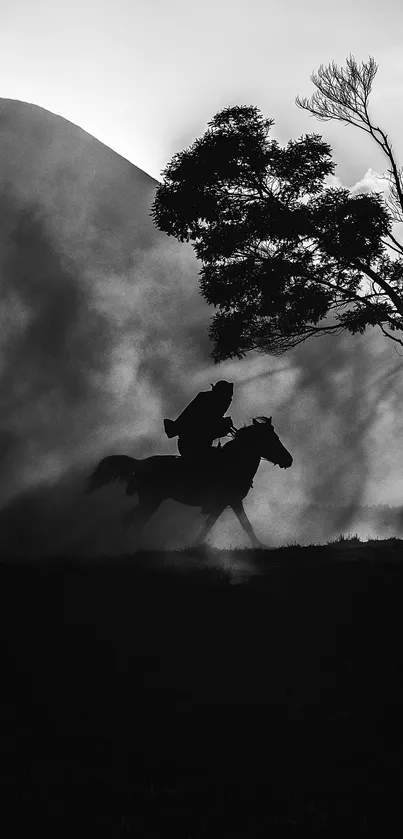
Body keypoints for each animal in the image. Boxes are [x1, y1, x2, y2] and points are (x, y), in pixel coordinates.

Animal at [86, 416, 294, 548]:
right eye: (271, 439)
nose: (289, 460)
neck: (233, 462)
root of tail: (141, 463)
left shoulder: (224, 503)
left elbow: (211, 524)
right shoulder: (232, 500)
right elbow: (244, 524)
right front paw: (260, 545)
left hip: (149, 500)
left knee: (130, 519)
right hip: (151, 500)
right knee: (136, 521)